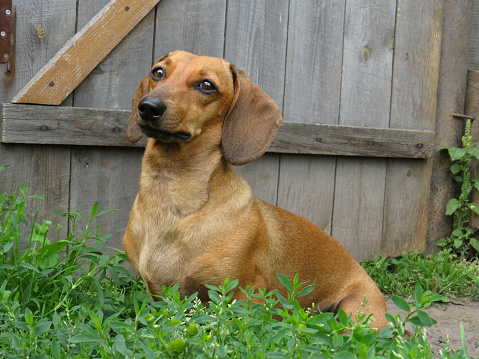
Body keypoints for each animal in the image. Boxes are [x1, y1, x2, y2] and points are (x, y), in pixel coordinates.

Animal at [124, 51, 390, 332]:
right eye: (158, 72)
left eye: (206, 85)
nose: (148, 106)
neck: (170, 199)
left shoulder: (245, 293)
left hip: (355, 314)